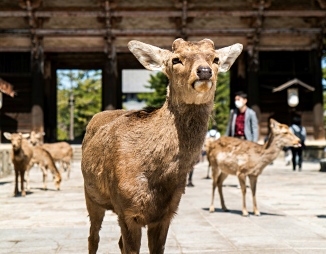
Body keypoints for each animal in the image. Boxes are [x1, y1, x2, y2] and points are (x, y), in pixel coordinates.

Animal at [81, 38, 242, 254]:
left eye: (215, 58)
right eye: (176, 59)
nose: (204, 71)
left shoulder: (167, 213)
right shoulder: (127, 210)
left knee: (117, 242)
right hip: (91, 195)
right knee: (93, 237)